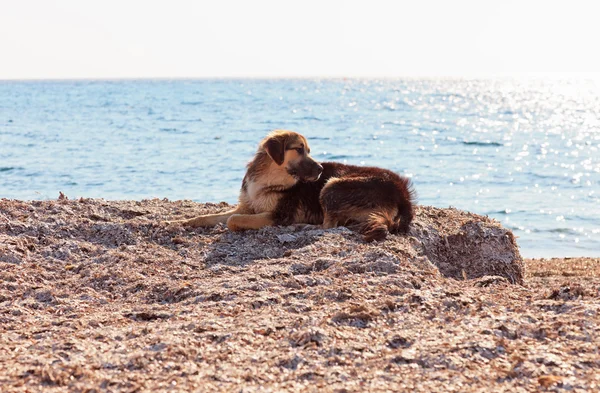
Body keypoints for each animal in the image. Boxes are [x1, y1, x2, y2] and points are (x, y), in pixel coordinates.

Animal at [173, 130, 414, 240]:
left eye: (308, 150)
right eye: (299, 149)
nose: (320, 169)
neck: (268, 179)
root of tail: (403, 195)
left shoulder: (277, 215)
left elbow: (233, 220)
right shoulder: (246, 206)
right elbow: (207, 217)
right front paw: (182, 221)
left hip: (332, 186)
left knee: (329, 225)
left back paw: (305, 227)